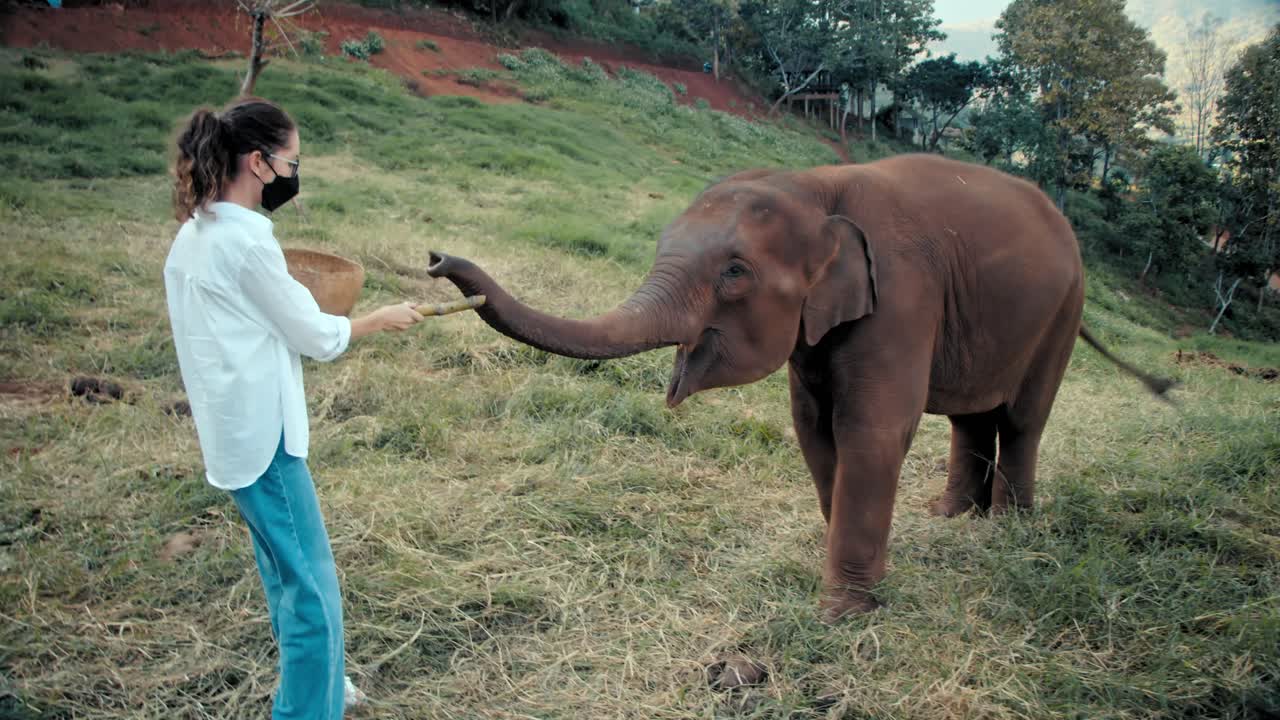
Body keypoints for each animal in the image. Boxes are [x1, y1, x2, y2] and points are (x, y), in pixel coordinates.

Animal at [426, 153, 1172, 621]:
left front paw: (844, 612)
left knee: (1020, 418)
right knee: (970, 416)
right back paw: (950, 517)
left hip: (1063, 312)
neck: (818, 188)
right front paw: (852, 573)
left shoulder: (903, 293)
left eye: (733, 273)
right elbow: (814, 428)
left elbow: (872, 429)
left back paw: (1010, 532)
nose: (436, 258)